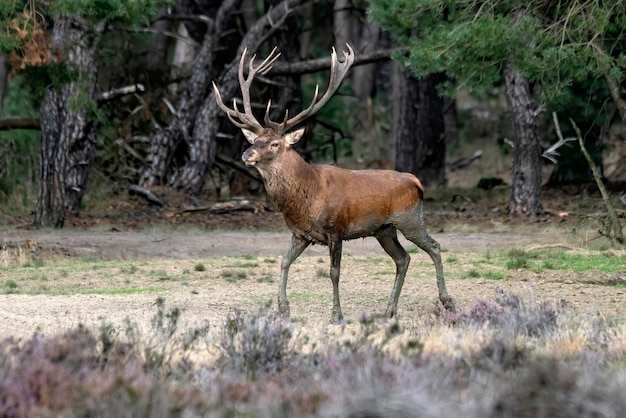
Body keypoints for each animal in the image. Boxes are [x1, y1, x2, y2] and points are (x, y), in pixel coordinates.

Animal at [211, 44, 454, 322]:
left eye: (274, 143)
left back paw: (447, 301)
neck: (306, 200)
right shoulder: (300, 234)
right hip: (384, 229)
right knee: (403, 259)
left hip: (410, 218)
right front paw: (284, 308)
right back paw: (389, 311)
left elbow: (334, 272)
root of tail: (415, 181)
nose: (246, 154)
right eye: (254, 140)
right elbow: (284, 261)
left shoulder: (335, 230)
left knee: (434, 246)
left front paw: (336, 314)